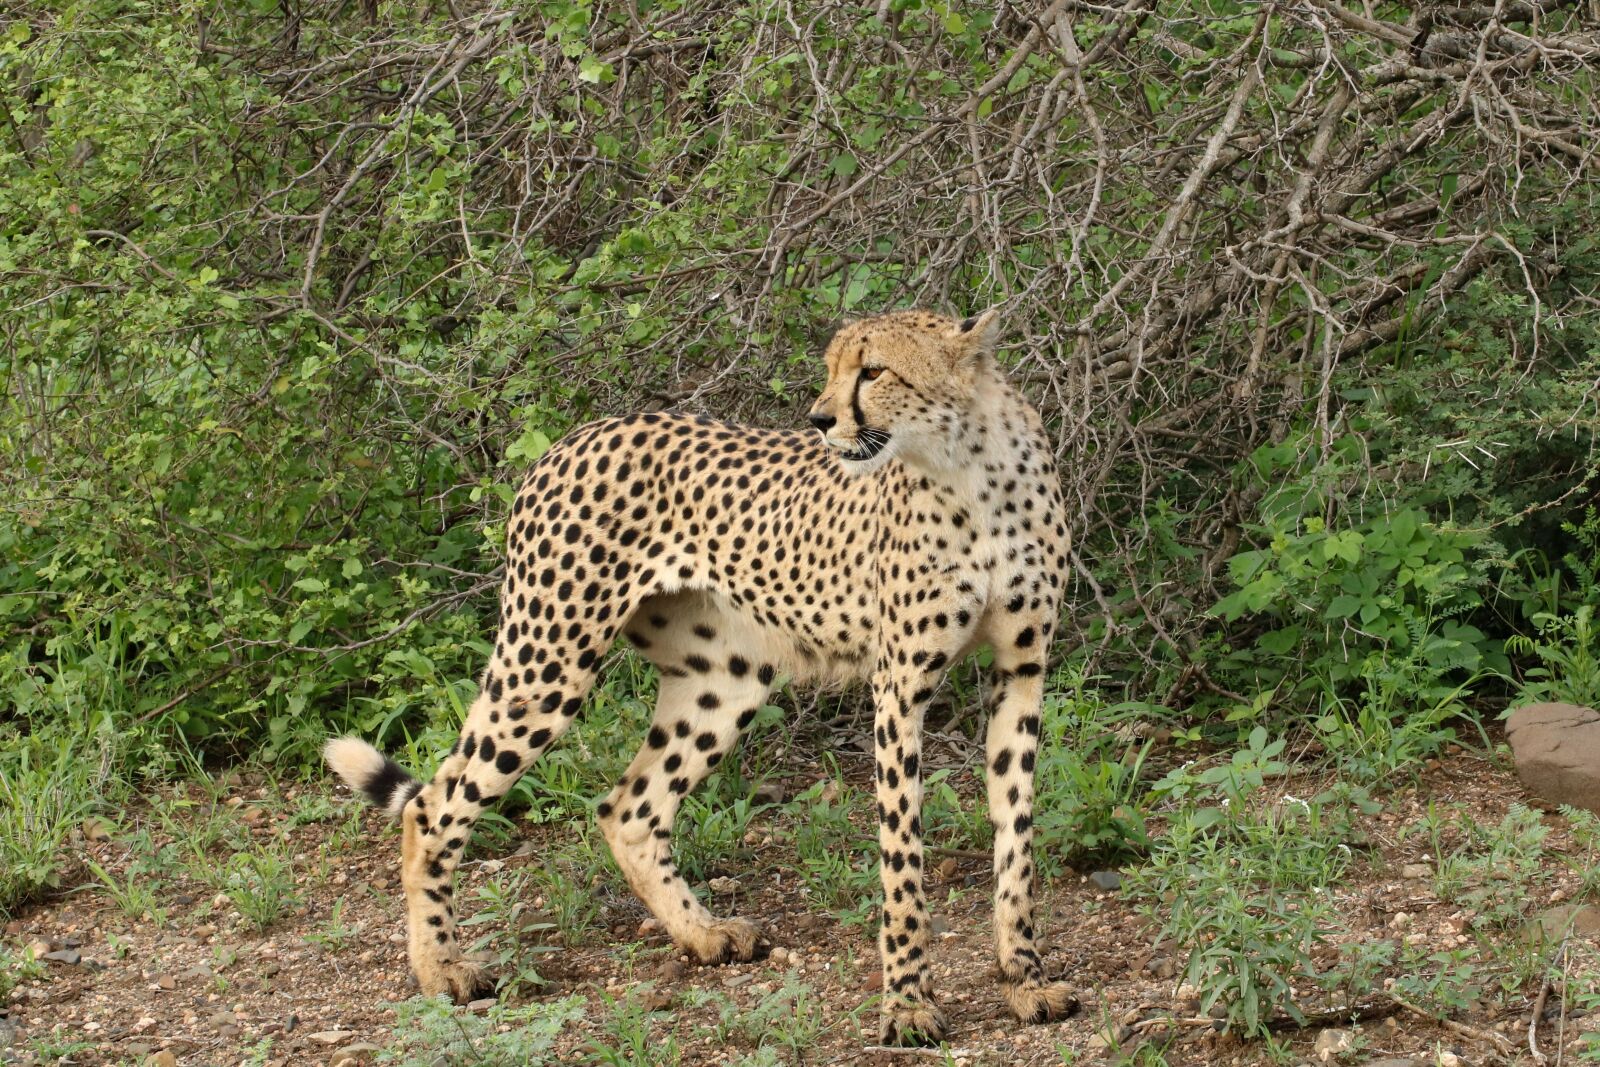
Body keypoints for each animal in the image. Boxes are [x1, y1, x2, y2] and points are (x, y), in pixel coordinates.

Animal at [325, 307, 1076, 1044]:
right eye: (834, 368)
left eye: (873, 371)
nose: (819, 419)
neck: (968, 468)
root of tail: (573, 437)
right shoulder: (899, 686)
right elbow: (902, 854)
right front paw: (909, 1004)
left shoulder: (1022, 670)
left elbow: (1016, 834)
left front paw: (1026, 978)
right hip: (548, 659)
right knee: (432, 805)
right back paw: (441, 968)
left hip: (725, 677)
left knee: (629, 807)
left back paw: (702, 933)